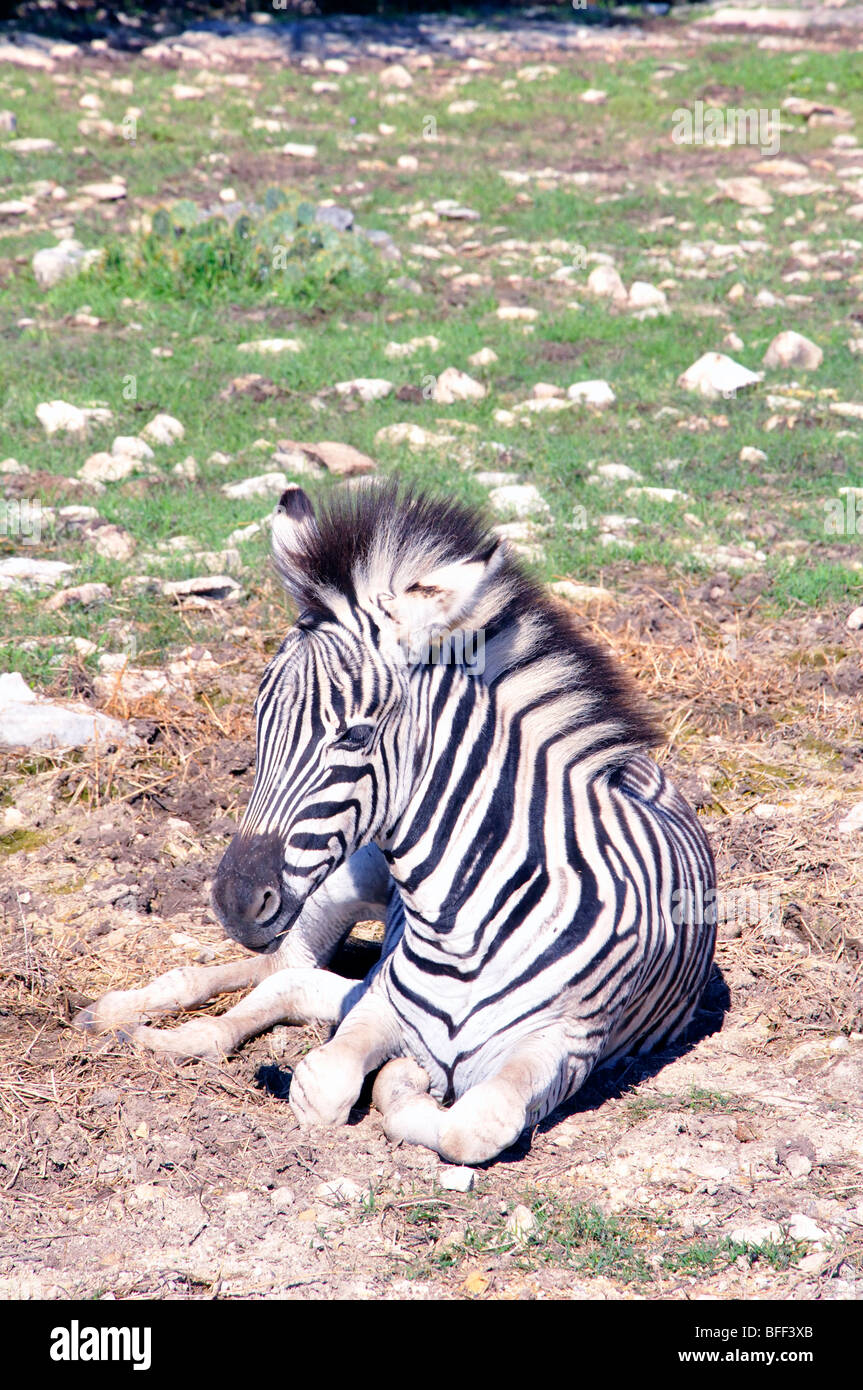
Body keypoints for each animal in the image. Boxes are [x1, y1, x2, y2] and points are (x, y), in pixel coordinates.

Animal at [79, 483, 711, 1167]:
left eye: (355, 735)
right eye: (258, 717)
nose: (235, 902)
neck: (462, 926)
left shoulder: (566, 1044)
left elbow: (475, 1123)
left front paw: (408, 1085)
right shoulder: (384, 1005)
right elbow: (323, 1083)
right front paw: (392, 1079)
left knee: (290, 978)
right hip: (334, 888)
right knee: (278, 972)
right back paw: (129, 1018)